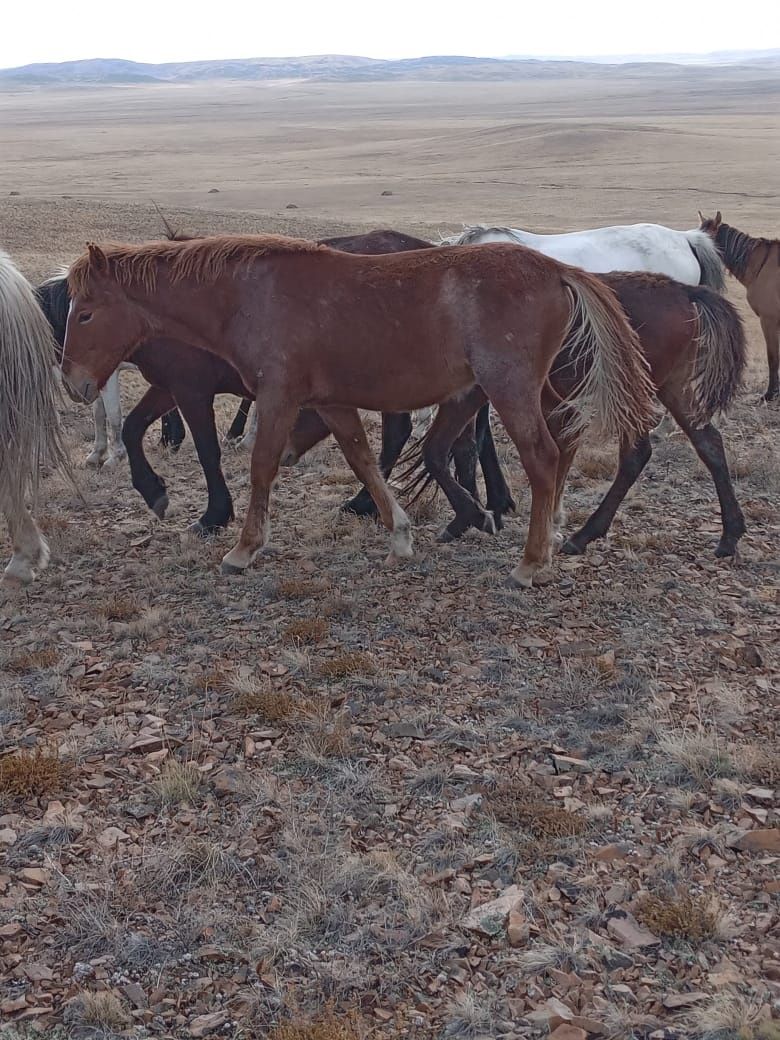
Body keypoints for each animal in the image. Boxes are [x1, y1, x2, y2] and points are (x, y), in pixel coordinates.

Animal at [62, 237, 661, 590]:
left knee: (543, 458)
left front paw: (243, 548)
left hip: (509, 390)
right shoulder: (331, 403)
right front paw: (399, 536)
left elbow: (262, 466)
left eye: (86, 312)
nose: (73, 382)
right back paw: (549, 536)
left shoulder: (278, 397)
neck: (248, 295)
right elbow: (364, 462)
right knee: (554, 453)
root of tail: (557, 268)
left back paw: (532, 560)